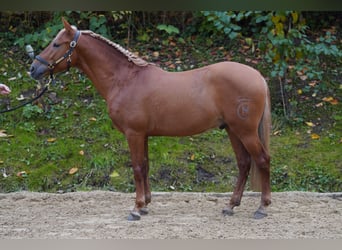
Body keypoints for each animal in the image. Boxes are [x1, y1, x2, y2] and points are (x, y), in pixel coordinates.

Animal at [30, 18, 272, 221]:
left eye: (56, 44)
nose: (33, 68)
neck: (125, 80)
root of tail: (258, 76)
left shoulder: (134, 133)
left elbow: (137, 168)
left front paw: (136, 209)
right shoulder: (143, 134)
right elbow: (145, 165)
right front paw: (145, 204)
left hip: (245, 132)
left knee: (262, 160)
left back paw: (262, 207)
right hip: (232, 130)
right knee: (244, 163)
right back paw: (230, 206)